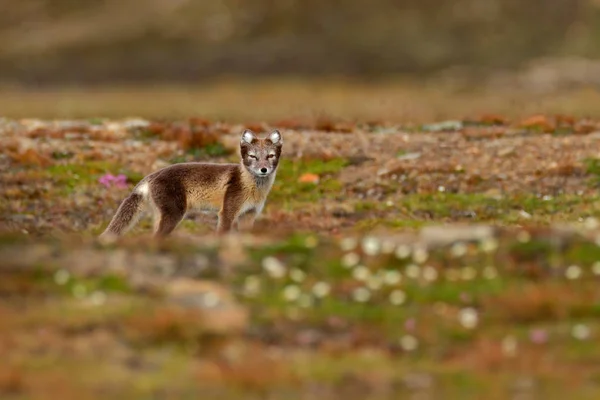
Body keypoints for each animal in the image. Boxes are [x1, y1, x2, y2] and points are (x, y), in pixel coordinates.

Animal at [99, 130, 284, 239]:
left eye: (270, 156)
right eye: (253, 156)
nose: (263, 169)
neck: (254, 189)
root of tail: (150, 176)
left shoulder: (249, 215)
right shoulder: (227, 213)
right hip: (174, 214)